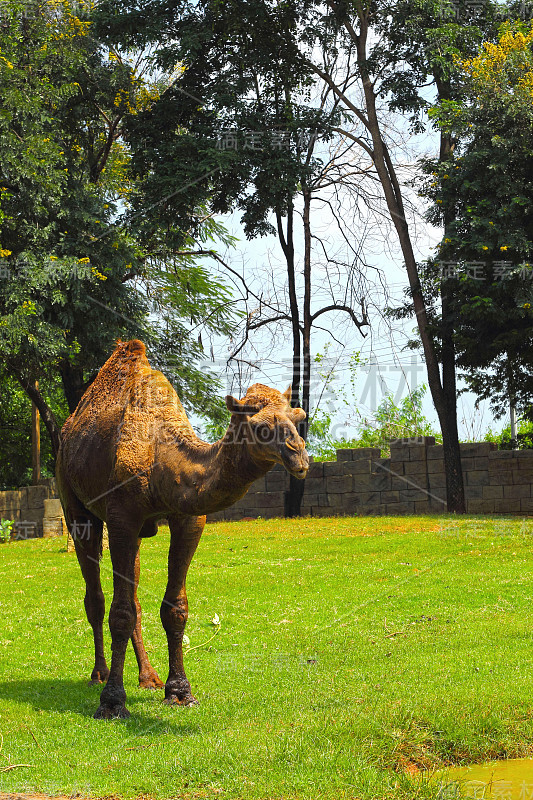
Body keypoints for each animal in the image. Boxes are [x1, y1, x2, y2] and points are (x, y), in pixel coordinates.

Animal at [55, 338, 308, 720]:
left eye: (298, 418)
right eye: (261, 426)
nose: (299, 457)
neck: (160, 456)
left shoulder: (188, 519)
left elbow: (174, 608)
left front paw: (179, 691)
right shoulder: (121, 517)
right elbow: (120, 612)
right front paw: (112, 702)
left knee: (133, 597)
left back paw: (148, 677)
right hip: (75, 505)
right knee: (96, 597)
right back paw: (99, 674)